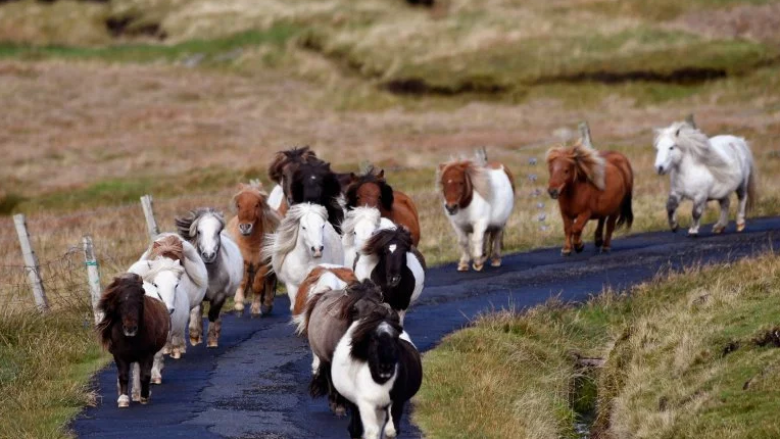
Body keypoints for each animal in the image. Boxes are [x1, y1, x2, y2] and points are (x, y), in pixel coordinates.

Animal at [97, 276, 169, 410]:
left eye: (141, 298)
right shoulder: (119, 355)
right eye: (119, 301)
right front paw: (123, 399)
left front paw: (144, 396)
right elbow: (123, 375)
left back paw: (137, 393)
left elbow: (145, 375)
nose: (130, 328)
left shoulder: (146, 355)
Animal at [227, 184, 282, 318]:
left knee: (269, 283)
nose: (245, 227)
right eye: (239, 205)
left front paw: (256, 309)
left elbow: (258, 286)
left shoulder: (264, 265)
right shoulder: (244, 262)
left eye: (256, 204)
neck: (251, 243)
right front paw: (239, 306)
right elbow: (242, 283)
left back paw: (267, 304)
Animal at [332, 306, 424, 439]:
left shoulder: (397, 399)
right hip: (356, 403)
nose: (386, 367)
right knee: (356, 428)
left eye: (395, 338)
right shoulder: (365, 403)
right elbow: (370, 431)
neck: (379, 380)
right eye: (373, 339)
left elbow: (390, 430)